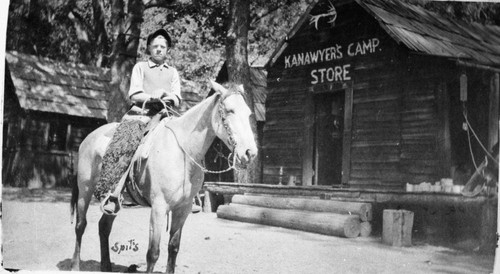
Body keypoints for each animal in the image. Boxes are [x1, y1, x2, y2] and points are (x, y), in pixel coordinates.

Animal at [69, 80, 258, 272]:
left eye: (248, 113)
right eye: (229, 110)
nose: (250, 152)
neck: (182, 153)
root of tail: (88, 138)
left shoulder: (183, 209)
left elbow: (173, 247)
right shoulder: (159, 208)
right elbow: (153, 253)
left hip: (113, 201)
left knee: (104, 227)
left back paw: (106, 266)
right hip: (85, 191)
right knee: (80, 225)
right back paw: (75, 266)